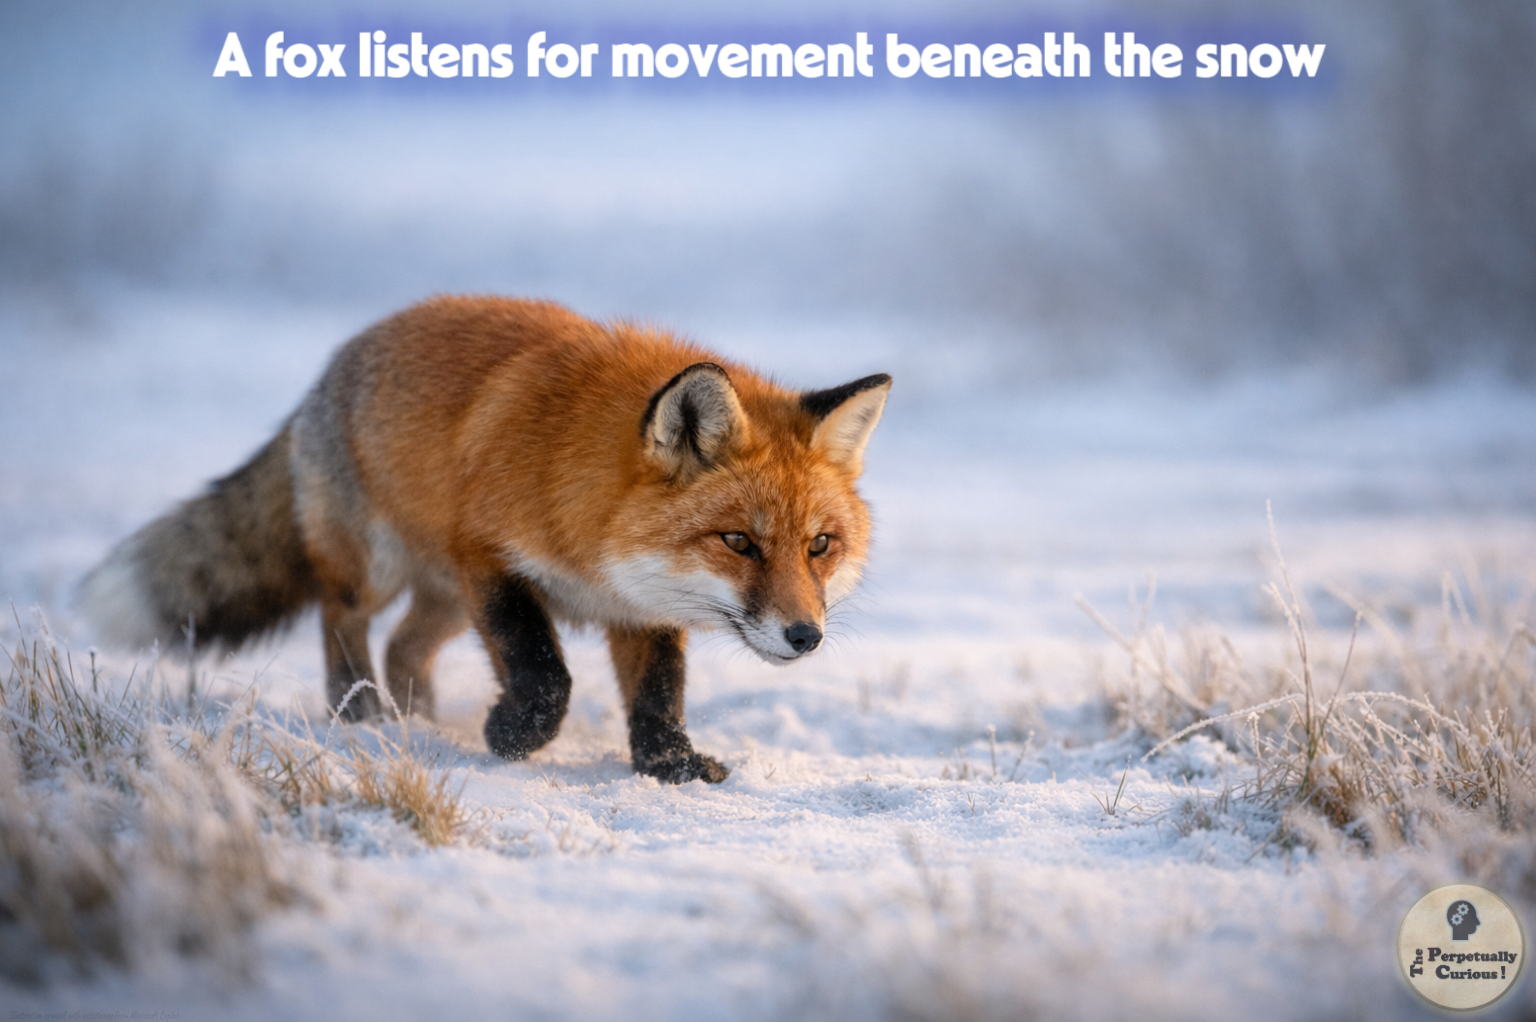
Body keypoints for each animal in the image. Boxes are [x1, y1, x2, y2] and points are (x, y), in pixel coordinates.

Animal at [80, 296, 890, 784]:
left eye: (819, 546)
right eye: (739, 542)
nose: (805, 635)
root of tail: (332, 366)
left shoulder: (640, 607)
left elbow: (660, 695)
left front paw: (669, 766)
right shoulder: (491, 562)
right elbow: (544, 672)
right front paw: (513, 737)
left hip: (443, 599)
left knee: (404, 648)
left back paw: (419, 720)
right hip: (380, 570)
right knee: (341, 622)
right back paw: (361, 715)